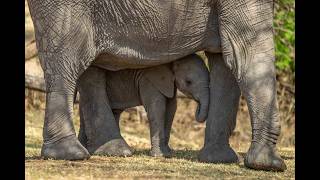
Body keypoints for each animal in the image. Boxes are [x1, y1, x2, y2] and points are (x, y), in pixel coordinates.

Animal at [76, 54, 209, 157]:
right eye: (189, 82)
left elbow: (172, 109)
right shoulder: (150, 79)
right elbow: (157, 108)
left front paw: (167, 154)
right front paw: (159, 156)